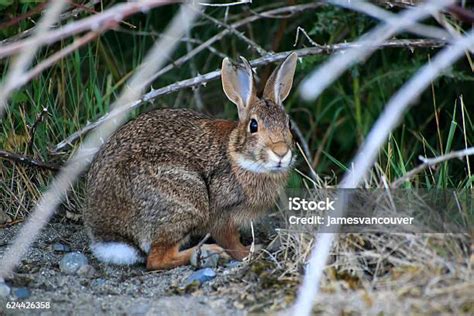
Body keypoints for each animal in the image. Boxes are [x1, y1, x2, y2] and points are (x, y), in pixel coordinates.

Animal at [81, 53, 296, 270]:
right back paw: (207, 252)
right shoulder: (222, 215)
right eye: (253, 126)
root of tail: (108, 235)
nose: (281, 152)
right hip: (188, 200)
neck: (238, 156)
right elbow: (231, 242)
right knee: (156, 259)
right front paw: (251, 252)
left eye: (288, 124)